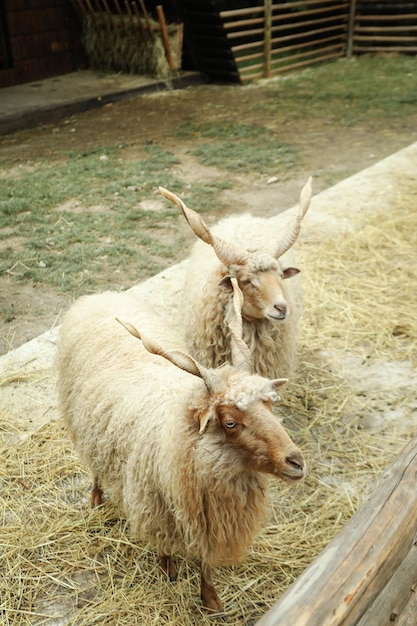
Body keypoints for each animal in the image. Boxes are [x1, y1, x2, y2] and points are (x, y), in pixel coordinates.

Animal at [56, 282, 306, 608]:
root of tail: (98, 297)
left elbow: (206, 563)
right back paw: (95, 498)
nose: (296, 462)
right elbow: (164, 542)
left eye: (268, 404)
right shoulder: (157, 504)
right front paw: (167, 568)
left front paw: (211, 600)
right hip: (88, 428)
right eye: (229, 422)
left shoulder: (209, 518)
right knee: (96, 465)